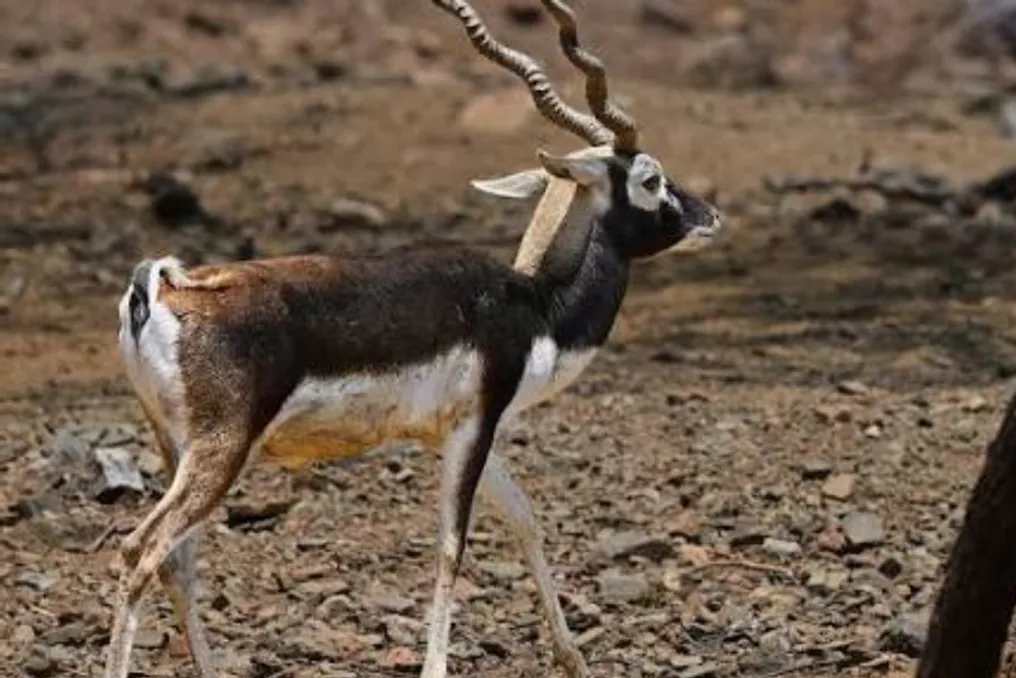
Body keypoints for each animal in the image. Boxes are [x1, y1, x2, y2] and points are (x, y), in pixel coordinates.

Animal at [103, 1, 721, 677]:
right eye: (651, 179)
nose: (709, 216)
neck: (538, 308)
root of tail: (159, 287)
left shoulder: (457, 431)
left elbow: (526, 520)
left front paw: (574, 660)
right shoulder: (475, 426)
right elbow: (451, 547)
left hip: (175, 445)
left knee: (177, 562)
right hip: (222, 448)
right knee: (141, 551)